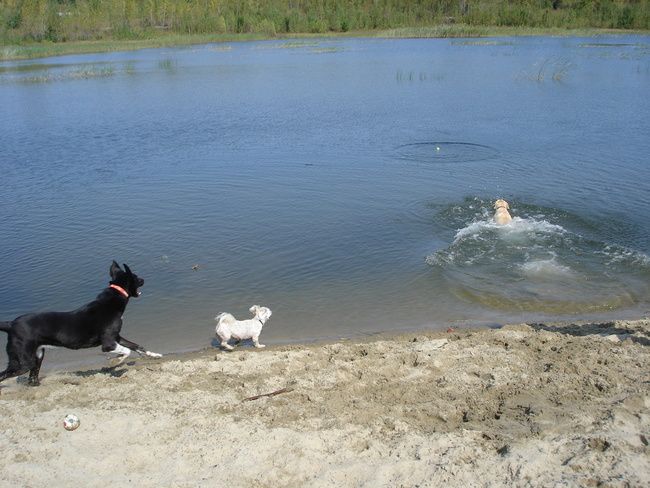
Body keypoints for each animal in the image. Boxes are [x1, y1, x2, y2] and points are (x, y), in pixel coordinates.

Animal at [0, 261, 162, 388]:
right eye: (136, 277)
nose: (144, 279)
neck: (113, 299)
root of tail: (11, 324)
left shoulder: (117, 337)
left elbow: (136, 346)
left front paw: (154, 354)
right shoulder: (108, 343)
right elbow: (126, 351)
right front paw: (116, 360)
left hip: (37, 356)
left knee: (32, 378)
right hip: (23, 362)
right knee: (4, 375)